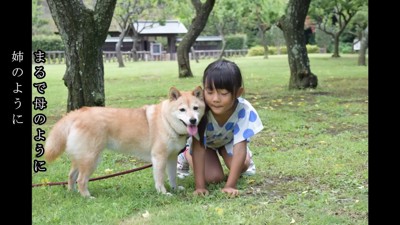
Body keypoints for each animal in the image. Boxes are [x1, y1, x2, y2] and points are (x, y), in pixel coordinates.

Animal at [44, 86, 206, 197]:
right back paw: (87, 197)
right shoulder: (159, 158)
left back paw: (72, 193)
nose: (193, 120)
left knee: (71, 176)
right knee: (81, 180)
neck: (166, 121)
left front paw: (175, 188)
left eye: (195, 108)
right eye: (182, 110)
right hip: (91, 159)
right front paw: (163, 193)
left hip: (83, 157)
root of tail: (78, 112)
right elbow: (160, 179)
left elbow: (172, 176)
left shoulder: (171, 157)